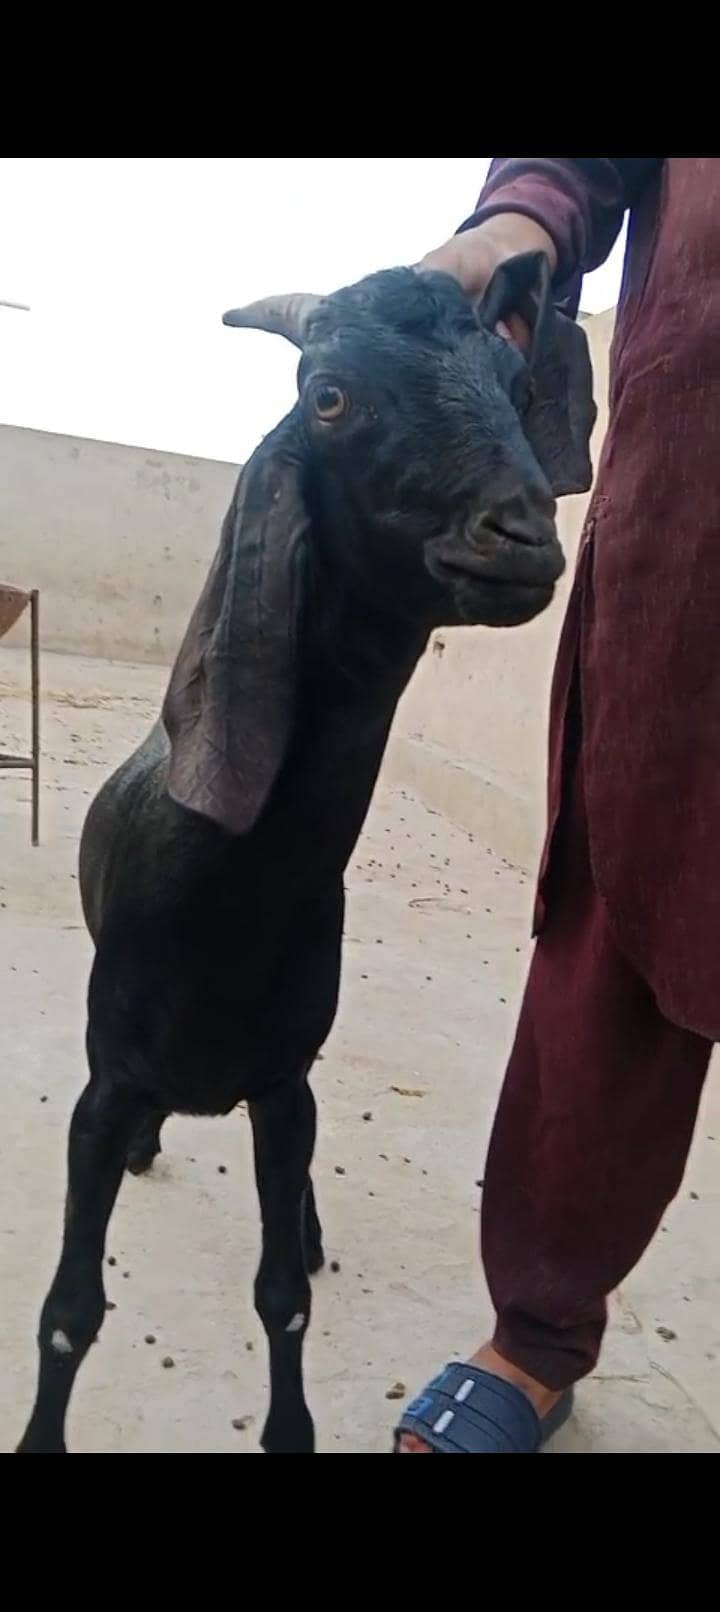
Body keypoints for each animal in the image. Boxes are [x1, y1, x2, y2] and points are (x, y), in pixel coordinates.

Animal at [17, 255, 594, 1454]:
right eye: (328, 395)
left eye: (519, 387)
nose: (522, 535)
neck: (223, 898)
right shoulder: (103, 1086)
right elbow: (68, 1310)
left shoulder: (284, 1083)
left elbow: (282, 1293)